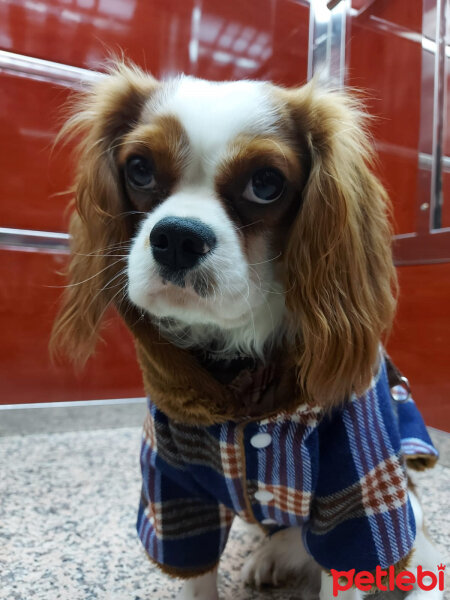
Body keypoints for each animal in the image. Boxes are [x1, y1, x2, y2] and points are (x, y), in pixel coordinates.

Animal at [52, 63, 442, 596]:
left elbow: (355, 558)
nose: (177, 237)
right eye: (140, 168)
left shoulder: (361, 487)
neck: (240, 361)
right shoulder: (173, 483)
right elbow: (194, 566)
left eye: (266, 183)